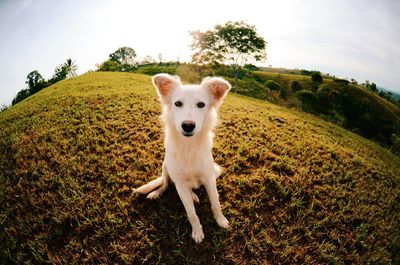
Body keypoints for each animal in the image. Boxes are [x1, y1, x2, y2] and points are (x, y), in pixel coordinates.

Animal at [134, 72, 230, 241]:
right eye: (178, 103)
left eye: (201, 104)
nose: (188, 125)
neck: (188, 146)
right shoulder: (179, 182)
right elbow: (191, 212)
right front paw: (197, 231)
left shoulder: (209, 177)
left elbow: (215, 202)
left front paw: (220, 220)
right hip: (165, 169)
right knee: (165, 184)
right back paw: (157, 193)